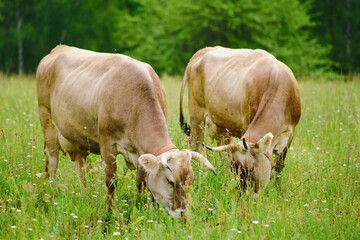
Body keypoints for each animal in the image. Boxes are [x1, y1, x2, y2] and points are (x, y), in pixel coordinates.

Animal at [35, 45, 217, 218]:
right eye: (171, 181)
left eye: (191, 181)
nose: (182, 213)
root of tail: (58, 49)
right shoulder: (107, 143)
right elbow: (111, 180)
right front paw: (109, 212)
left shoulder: (140, 153)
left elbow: (141, 182)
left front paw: (143, 206)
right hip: (47, 121)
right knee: (52, 162)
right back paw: (51, 196)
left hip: (77, 139)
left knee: (81, 168)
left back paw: (85, 195)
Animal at [180, 47, 300, 195]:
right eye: (236, 170)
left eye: (252, 169)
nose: (246, 195)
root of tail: (204, 50)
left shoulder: (291, 133)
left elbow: (279, 167)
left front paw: (278, 191)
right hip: (196, 115)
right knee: (196, 145)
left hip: (221, 126)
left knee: (223, 153)